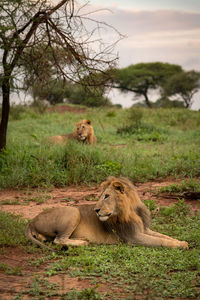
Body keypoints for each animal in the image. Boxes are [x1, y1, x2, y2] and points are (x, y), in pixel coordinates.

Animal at [24, 176, 188, 251]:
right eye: (102, 196)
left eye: (107, 196)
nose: (95, 210)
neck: (132, 210)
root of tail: (31, 221)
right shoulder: (132, 237)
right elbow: (160, 241)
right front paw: (181, 245)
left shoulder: (143, 230)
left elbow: (164, 236)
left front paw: (181, 241)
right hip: (73, 210)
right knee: (58, 240)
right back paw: (83, 242)